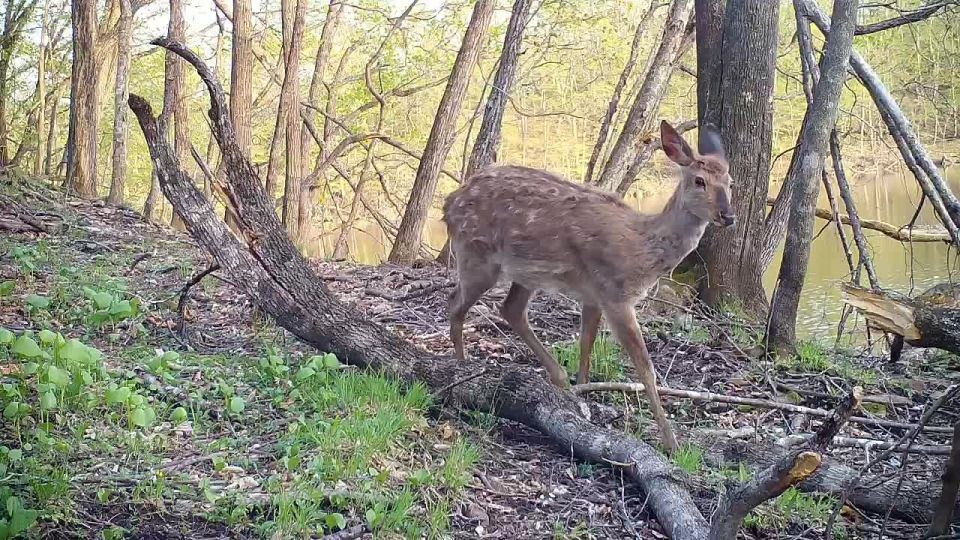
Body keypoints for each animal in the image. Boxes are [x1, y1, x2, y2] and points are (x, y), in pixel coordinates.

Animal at [440, 120, 735, 453]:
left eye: (730, 182)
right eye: (699, 181)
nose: (728, 216)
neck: (643, 250)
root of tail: (449, 203)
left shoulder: (594, 294)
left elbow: (587, 344)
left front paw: (582, 394)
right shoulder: (616, 295)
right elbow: (645, 366)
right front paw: (671, 442)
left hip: (525, 272)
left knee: (510, 309)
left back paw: (557, 378)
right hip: (477, 255)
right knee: (455, 304)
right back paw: (462, 370)